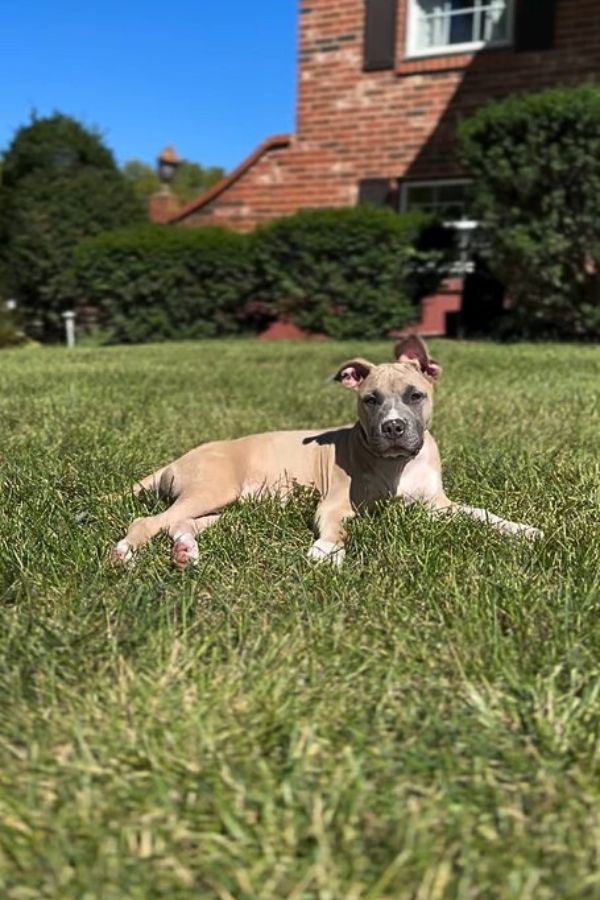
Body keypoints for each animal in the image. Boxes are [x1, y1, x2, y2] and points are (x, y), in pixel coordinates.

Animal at [110, 338, 540, 568]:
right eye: (370, 400)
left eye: (415, 396)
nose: (393, 428)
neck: (399, 465)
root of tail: (177, 459)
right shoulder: (334, 504)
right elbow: (337, 526)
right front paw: (327, 551)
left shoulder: (438, 506)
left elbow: (481, 513)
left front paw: (522, 529)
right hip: (212, 488)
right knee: (148, 521)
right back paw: (124, 554)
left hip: (224, 506)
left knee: (178, 523)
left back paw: (185, 551)